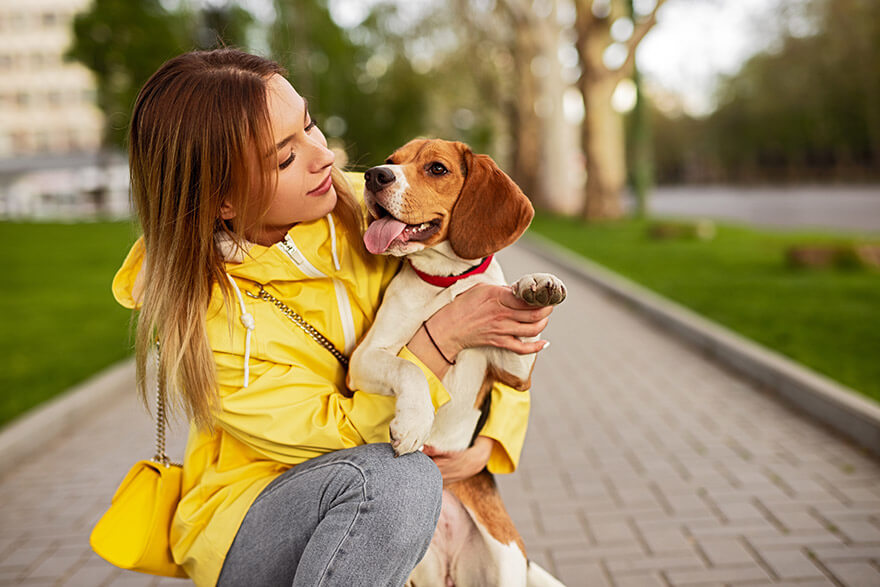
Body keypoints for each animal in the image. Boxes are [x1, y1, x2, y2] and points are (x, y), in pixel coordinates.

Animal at [348, 140, 568, 584]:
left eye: (437, 168)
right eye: (393, 162)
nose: (375, 175)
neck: (446, 282)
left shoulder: (516, 371)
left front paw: (536, 285)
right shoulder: (364, 359)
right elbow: (409, 367)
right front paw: (414, 423)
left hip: (504, 563)